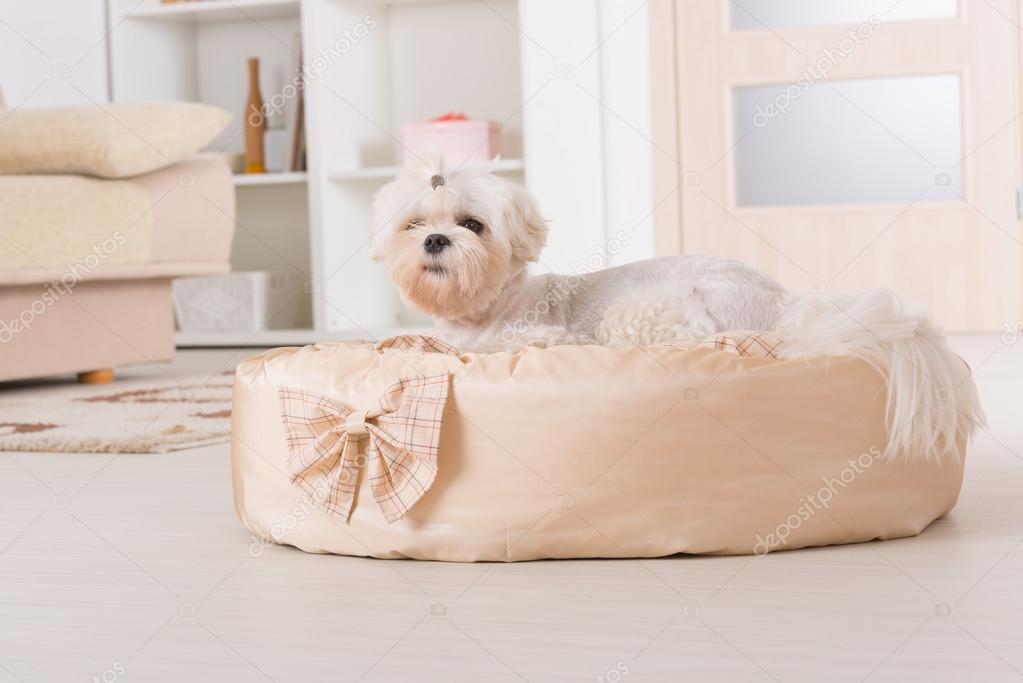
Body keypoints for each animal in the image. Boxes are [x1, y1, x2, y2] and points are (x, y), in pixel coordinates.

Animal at [372, 158, 793, 351]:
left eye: (473, 225)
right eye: (414, 225)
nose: (434, 239)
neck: (483, 313)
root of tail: (785, 300)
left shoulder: (539, 334)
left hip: (644, 314)